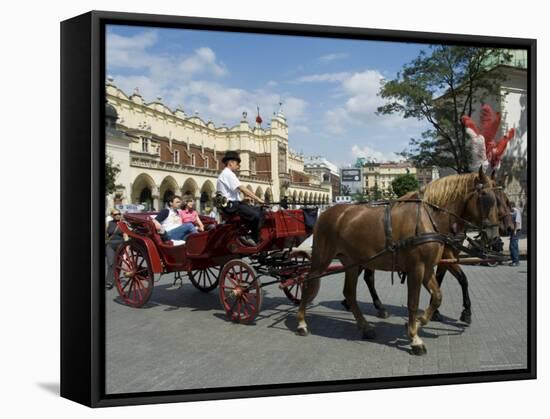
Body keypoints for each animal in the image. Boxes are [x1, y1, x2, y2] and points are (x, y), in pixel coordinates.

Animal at [300, 169, 502, 356]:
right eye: (486, 197)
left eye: (498, 199)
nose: (494, 236)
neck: (428, 217)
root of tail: (327, 212)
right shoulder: (416, 268)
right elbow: (413, 302)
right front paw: (415, 338)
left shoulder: (427, 269)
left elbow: (437, 296)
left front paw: (420, 322)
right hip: (322, 259)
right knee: (308, 283)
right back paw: (302, 322)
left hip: (353, 261)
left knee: (349, 292)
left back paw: (365, 326)